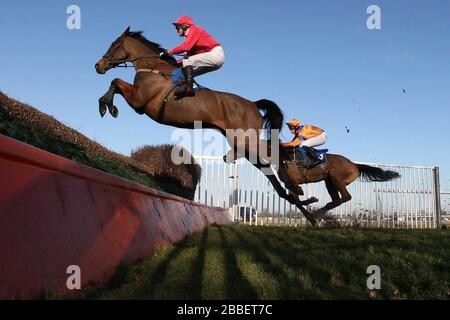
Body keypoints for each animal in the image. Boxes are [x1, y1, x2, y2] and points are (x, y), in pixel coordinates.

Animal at [93, 26, 314, 218]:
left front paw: (107, 106)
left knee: (274, 155)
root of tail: (253, 104)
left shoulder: (140, 102)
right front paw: (107, 104)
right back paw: (299, 202)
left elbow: (116, 82)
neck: (152, 68)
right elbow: (116, 83)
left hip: (245, 140)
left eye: (114, 44)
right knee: (266, 166)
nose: (98, 66)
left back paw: (297, 190)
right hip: (242, 144)